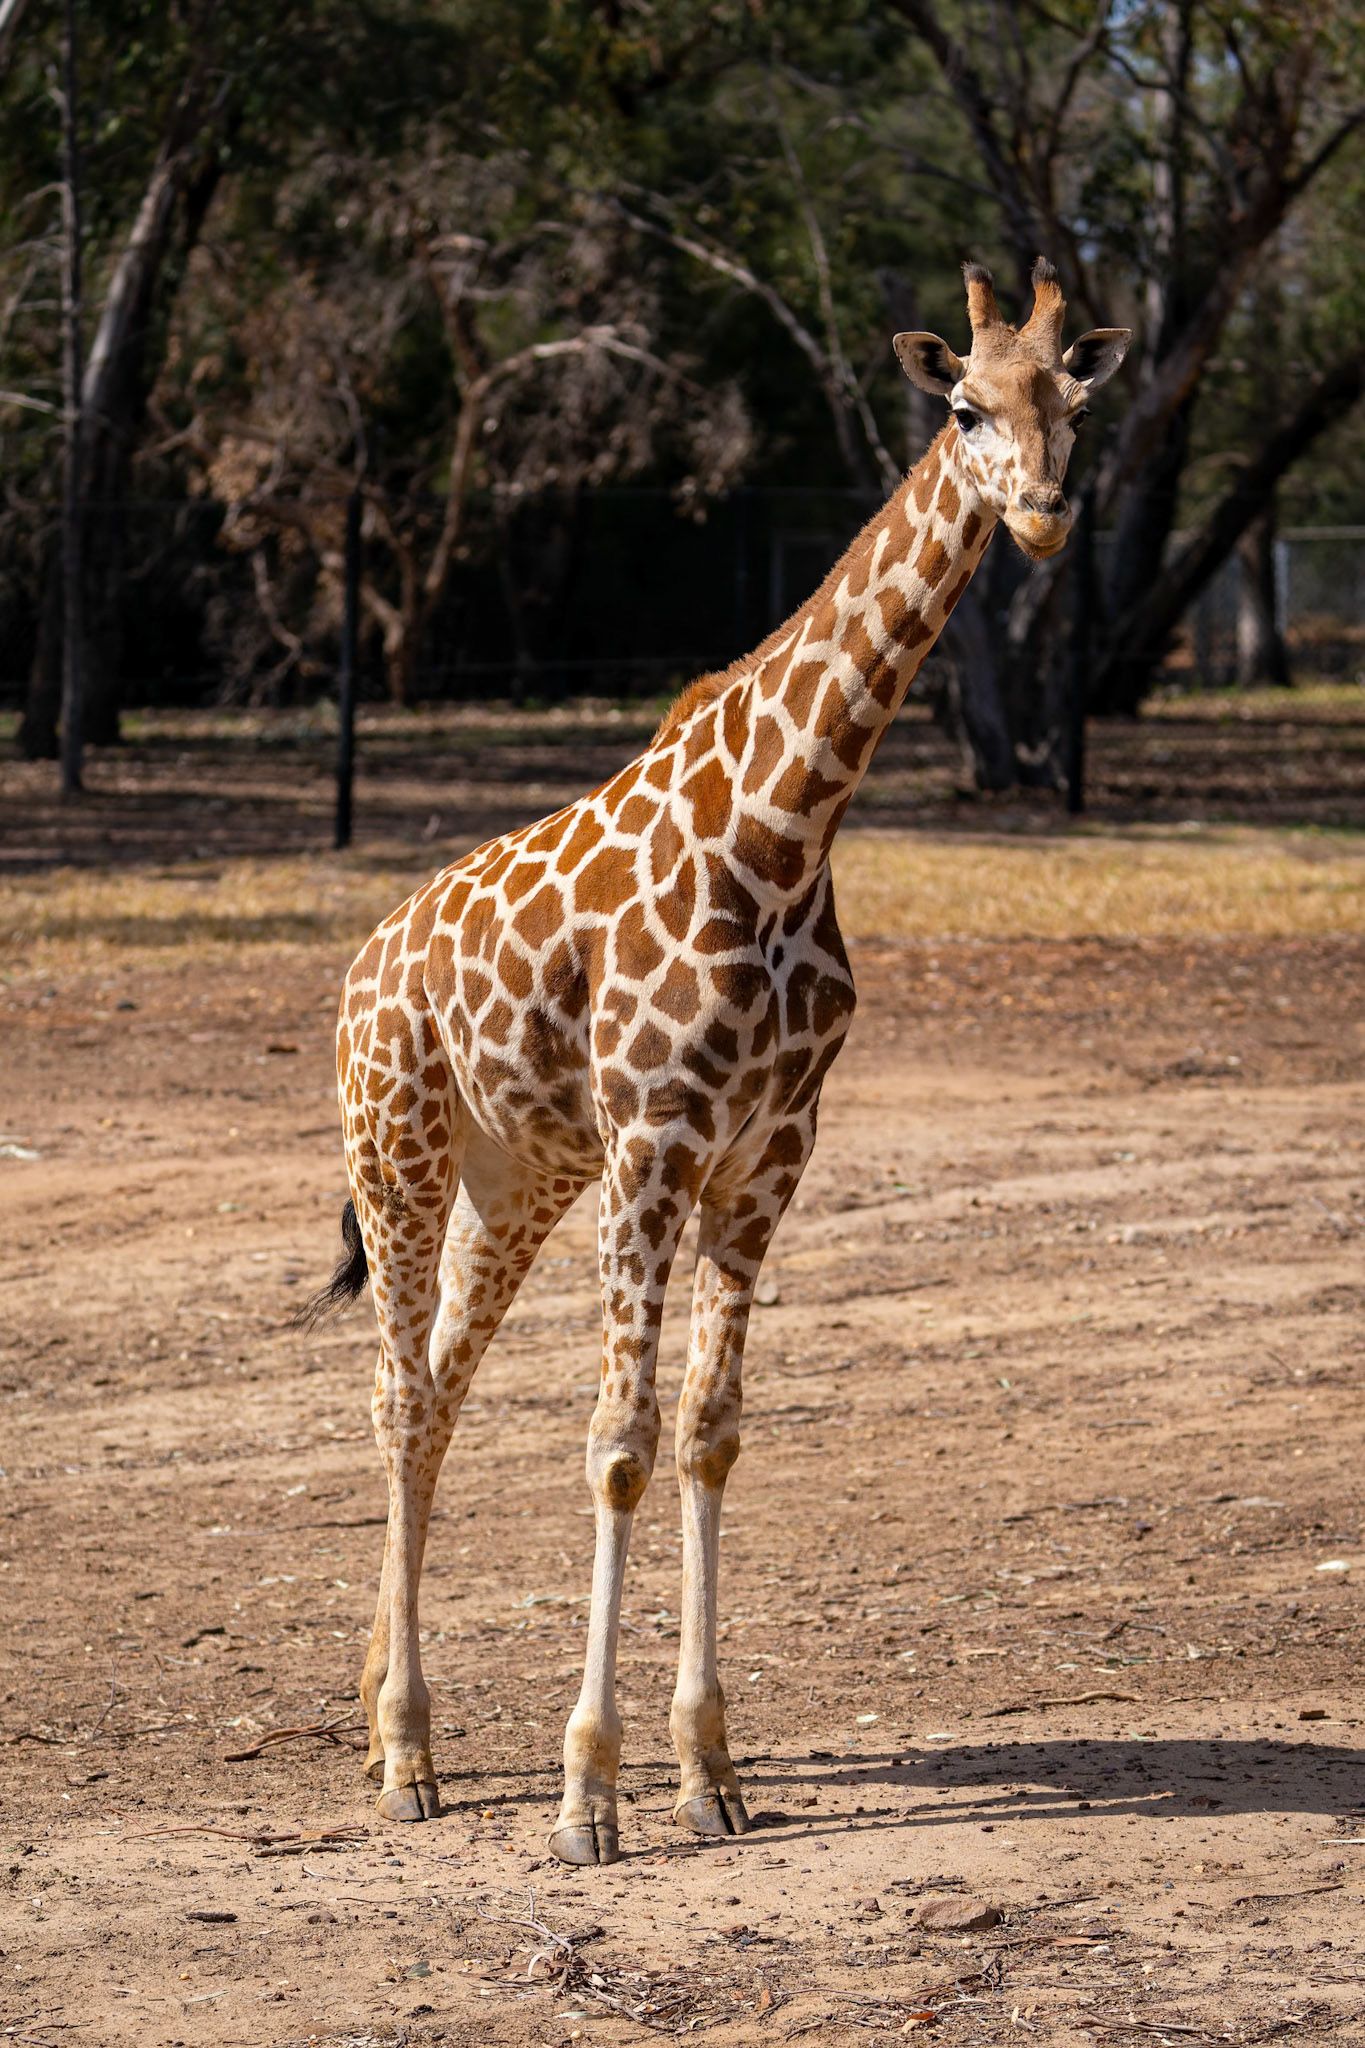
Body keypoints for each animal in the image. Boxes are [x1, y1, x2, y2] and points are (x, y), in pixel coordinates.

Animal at [306, 258, 1128, 1864]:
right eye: (962, 403)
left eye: (1074, 398)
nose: (1046, 511)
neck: (788, 825)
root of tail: (363, 973)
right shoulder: (657, 1138)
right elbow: (617, 1444)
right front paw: (588, 1792)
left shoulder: (765, 1160)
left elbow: (709, 1437)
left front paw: (710, 1771)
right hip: (401, 1155)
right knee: (397, 1397)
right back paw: (410, 1754)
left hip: (518, 1178)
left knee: (437, 1390)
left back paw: (385, 1722)